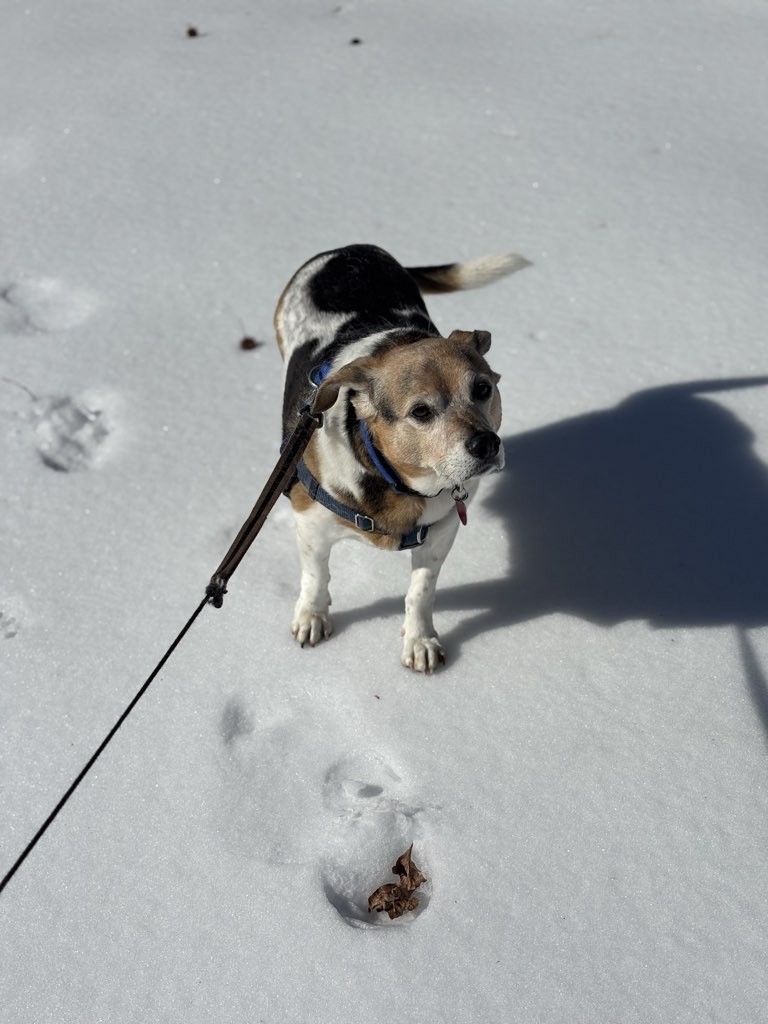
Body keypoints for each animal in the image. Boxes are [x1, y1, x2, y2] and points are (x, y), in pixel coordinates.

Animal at [275, 243, 529, 672]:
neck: (397, 482)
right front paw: (312, 615)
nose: (485, 444)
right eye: (421, 412)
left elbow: (420, 591)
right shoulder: (311, 523)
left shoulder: (441, 531)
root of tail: (349, 250)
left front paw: (419, 639)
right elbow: (315, 575)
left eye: (482, 389)